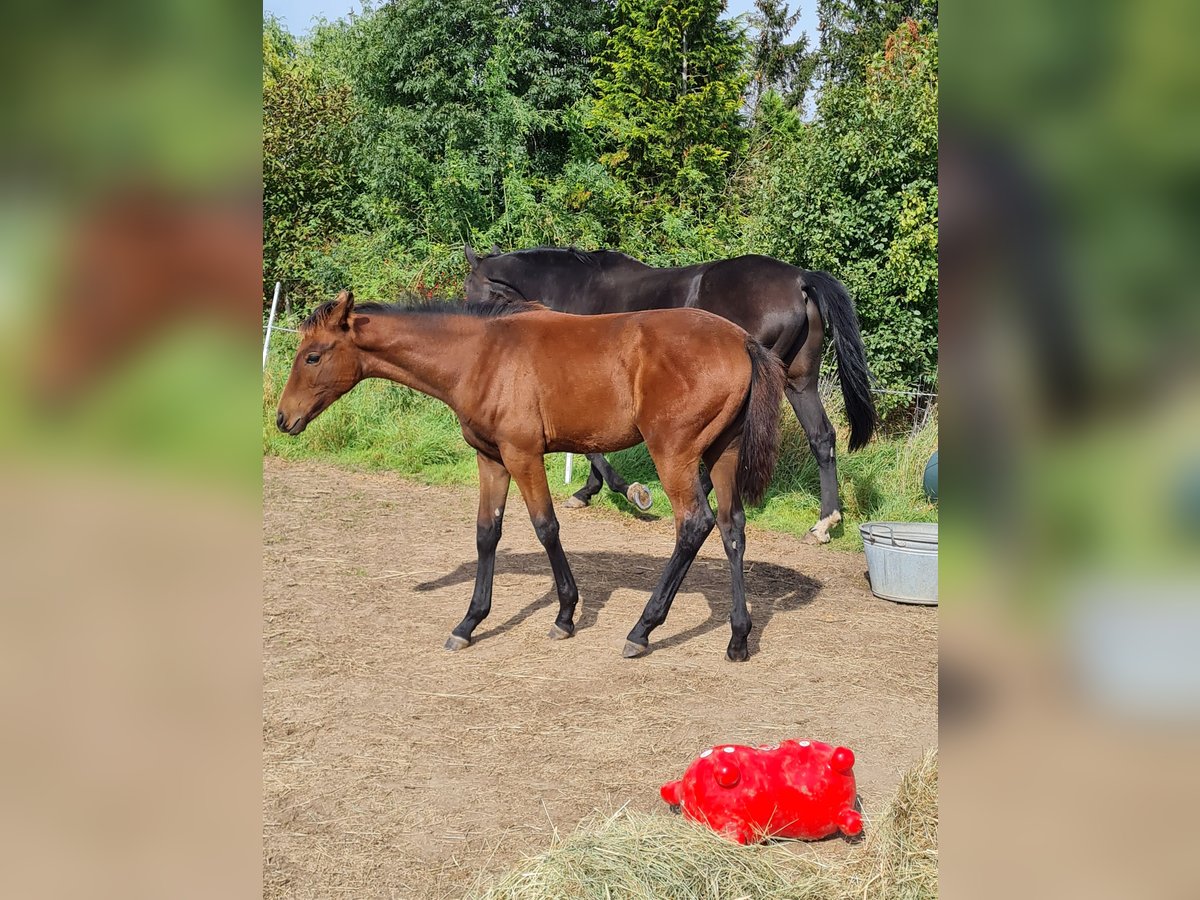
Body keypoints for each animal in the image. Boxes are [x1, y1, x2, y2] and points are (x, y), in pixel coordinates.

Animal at [274, 294, 787, 662]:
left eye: (313, 357)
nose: (282, 419)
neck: (480, 355)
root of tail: (743, 342)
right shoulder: (491, 459)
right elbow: (487, 532)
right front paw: (469, 623)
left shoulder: (523, 455)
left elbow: (546, 527)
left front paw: (565, 615)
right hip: (722, 454)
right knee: (732, 529)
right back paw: (738, 639)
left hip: (674, 453)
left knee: (694, 524)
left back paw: (642, 630)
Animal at [463, 244, 878, 542]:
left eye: (471, 287)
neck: (573, 289)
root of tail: (799, 280)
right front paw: (587, 491)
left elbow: (592, 447)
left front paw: (630, 492)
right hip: (798, 381)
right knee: (821, 437)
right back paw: (824, 522)